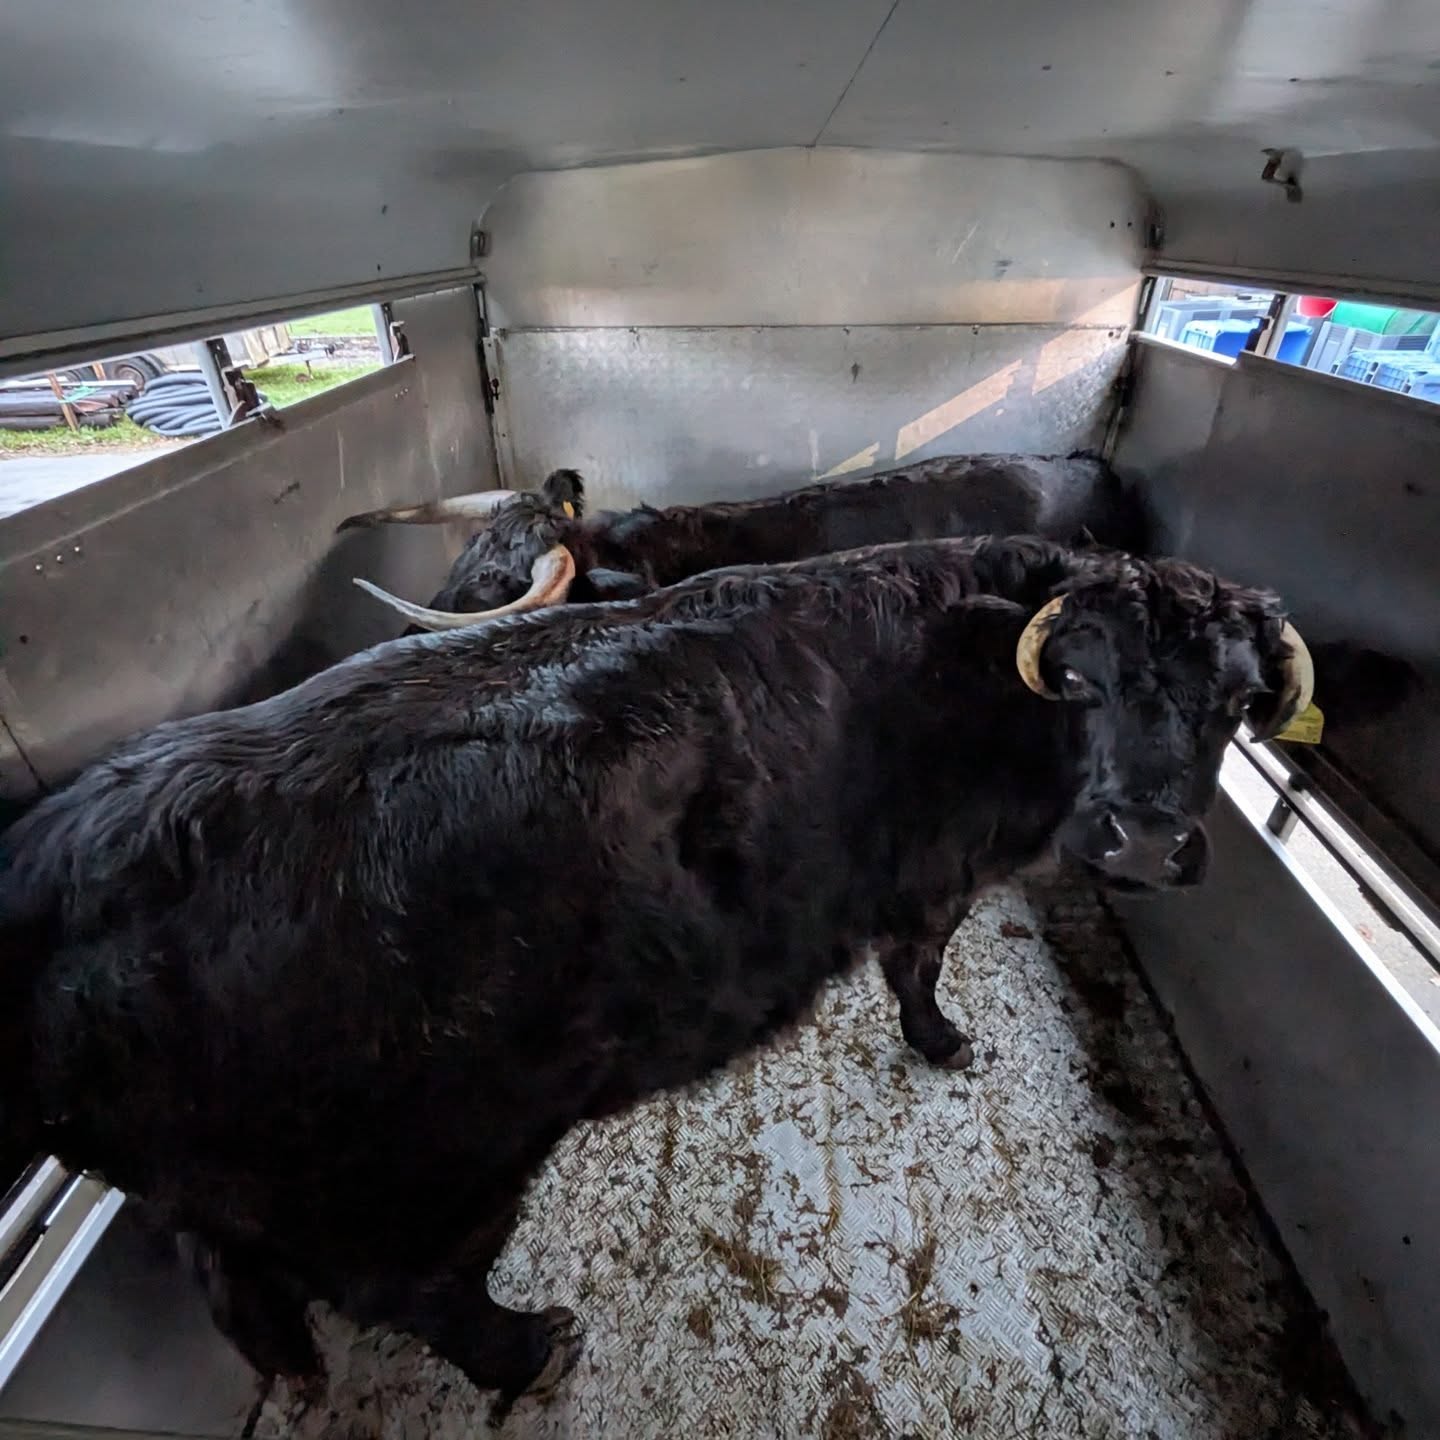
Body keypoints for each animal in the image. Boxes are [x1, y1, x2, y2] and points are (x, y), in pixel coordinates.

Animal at [0, 535, 1311, 1416]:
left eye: (1241, 702)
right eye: (1083, 679)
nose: (1144, 841)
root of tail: (66, 855)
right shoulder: (935, 876)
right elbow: (920, 964)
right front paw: (943, 1040)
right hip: (419, 1181)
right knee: (421, 1294)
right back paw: (534, 1349)